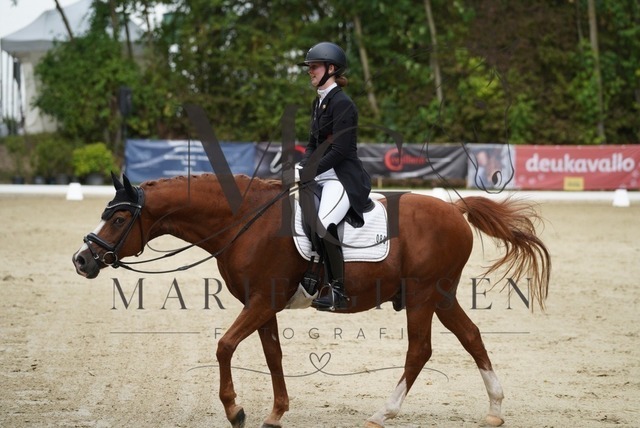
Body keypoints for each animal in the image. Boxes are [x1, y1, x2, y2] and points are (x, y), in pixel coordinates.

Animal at [72, 173, 550, 428]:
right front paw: (275, 413)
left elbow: (224, 346)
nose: (82, 260)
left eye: (119, 217)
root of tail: (455, 210)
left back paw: (384, 412)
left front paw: (235, 410)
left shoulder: (261, 301)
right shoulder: (262, 303)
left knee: (420, 350)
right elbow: (272, 355)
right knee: (471, 337)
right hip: (442, 295)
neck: (243, 222)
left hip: (422, 294)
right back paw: (495, 409)